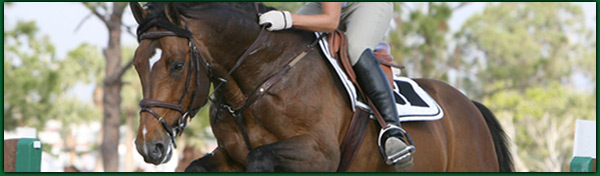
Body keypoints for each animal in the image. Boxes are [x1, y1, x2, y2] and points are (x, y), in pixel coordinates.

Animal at [129, 1, 512, 172]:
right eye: (136, 65)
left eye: (177, 65)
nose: (149, 146)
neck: (258, 78)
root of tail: (470, 106)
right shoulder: (228, 155)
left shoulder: (320, 155)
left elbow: (259, 157)